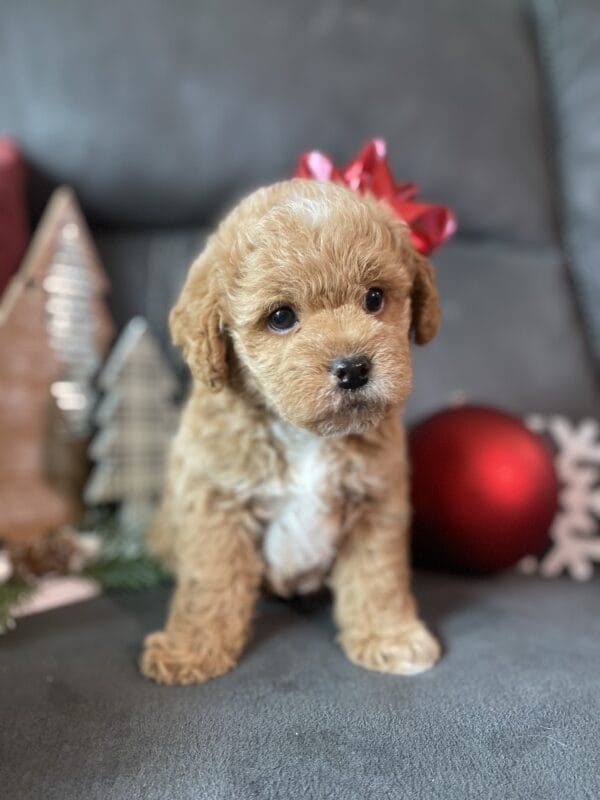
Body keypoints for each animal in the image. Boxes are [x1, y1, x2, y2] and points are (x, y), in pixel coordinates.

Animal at [141, 178, 440, 684]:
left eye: (374, 298)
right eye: (281, 317)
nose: (353, 368)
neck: (305, 435)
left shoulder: (376, 500)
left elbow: (377, 577)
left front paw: (389, 638)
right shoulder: (216, 503)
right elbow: (209, 582)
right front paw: (191, 650)